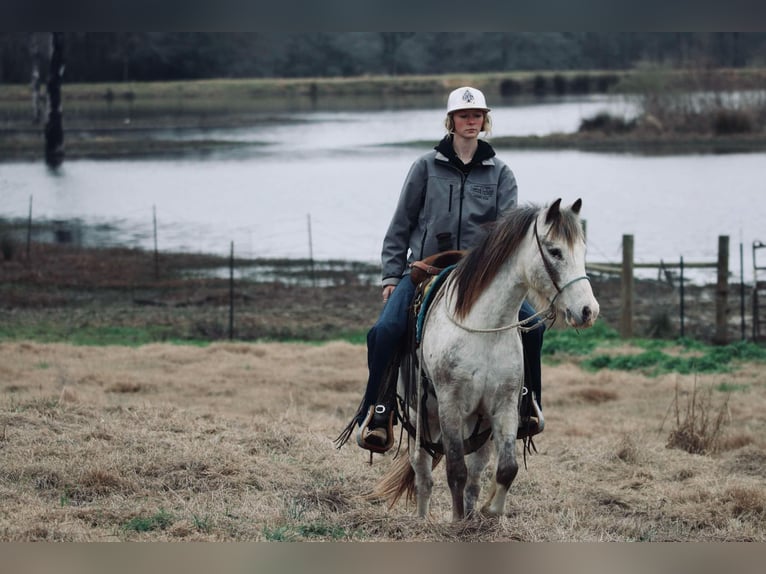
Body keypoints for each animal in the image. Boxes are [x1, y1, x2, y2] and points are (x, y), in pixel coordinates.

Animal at [376, 200, 604, 524]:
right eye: (555, 251)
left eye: (582, 250)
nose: (588, 311)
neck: (484, 327)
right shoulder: (450, 406)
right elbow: (455, 471)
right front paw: (457, 522)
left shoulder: (504, 406)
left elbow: (505, 469)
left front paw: (488, 512)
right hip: (418, 417)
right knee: (423, 471)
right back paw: (422, 517)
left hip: (477, 425)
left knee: (474, 472)